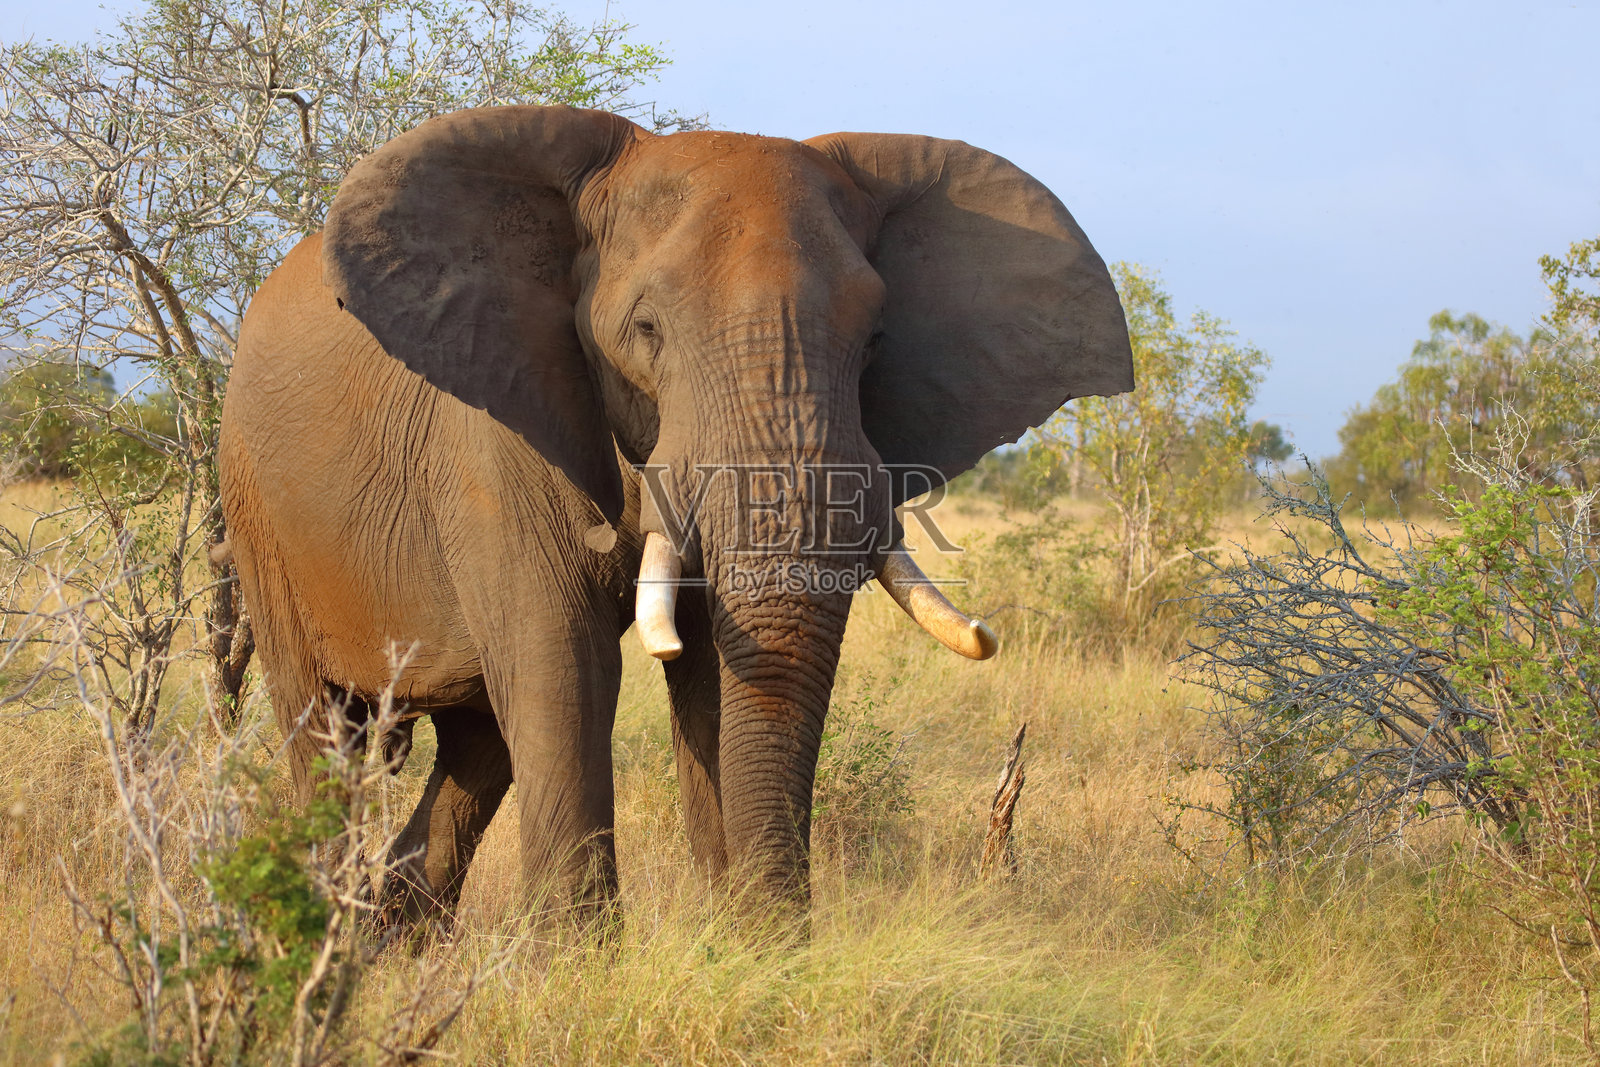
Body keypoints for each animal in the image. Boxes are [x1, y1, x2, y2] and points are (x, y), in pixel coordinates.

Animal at [217, 105, 1133, 924]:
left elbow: (711, 674)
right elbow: (565, 665)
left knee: (479, 744)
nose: (783, 941)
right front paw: (579, 975)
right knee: (322, 726)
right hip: (256, 509)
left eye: (876, 340)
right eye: (647, 329)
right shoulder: (491, 442)